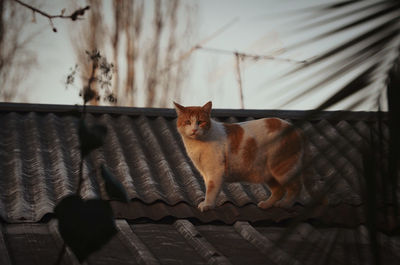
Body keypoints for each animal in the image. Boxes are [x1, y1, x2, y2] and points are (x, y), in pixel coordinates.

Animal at [174, 100, 304, 211]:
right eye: (188, 122)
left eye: (200, 122)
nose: (194, 130)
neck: (197, 143)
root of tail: (293, 128)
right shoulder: (205, 173)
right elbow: (208, 187)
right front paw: (206, 203)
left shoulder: (215, 171)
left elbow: (211, 189)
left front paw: (208, 205)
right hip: (268, 173)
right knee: (279, 190)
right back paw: (266, 204)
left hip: (282, 168)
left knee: (296, 187)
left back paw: (286, 204)